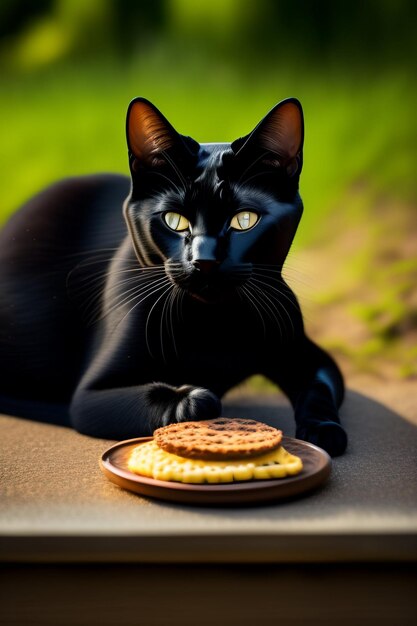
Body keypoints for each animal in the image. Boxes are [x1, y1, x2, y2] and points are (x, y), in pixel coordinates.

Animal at [0, 95, 348, 454]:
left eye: (244, 220)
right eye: (174, 220)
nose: (204, 260)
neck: (213, 323)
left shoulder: (308, 355)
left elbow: (319, 388)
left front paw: (324, 429)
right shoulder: (89, 398)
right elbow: (191, 398)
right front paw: (192, 397)